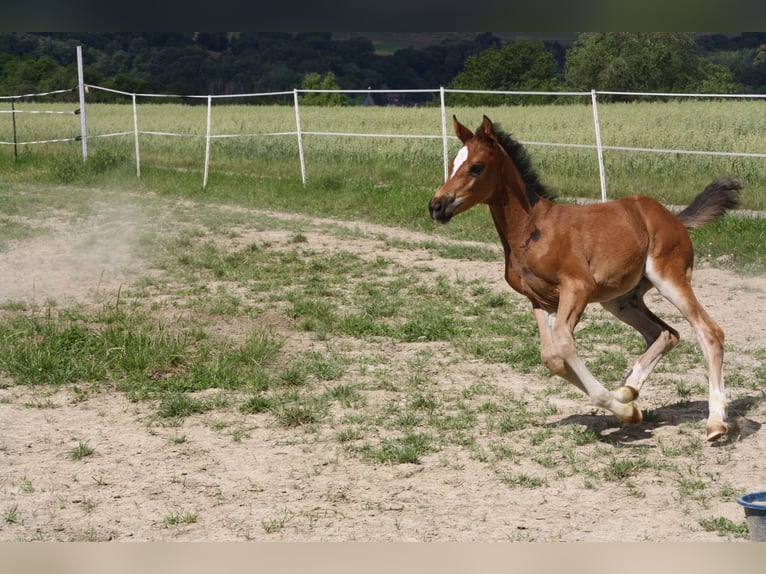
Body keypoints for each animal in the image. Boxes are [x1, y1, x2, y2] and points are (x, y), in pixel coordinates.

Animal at [428, 116, 740, 440]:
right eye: (452, 163)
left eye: (476, 167)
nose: (436, 206)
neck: (532, 227)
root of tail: (674, 218)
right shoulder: (541, 301)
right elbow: (551, 357)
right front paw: (627, 407)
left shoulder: (577, 288)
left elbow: (564, 345)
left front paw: (621, 406)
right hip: (620, 300)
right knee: (665, 333)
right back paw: (628, 390)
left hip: (670, 278)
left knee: (709, 331)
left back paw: (716, 422)